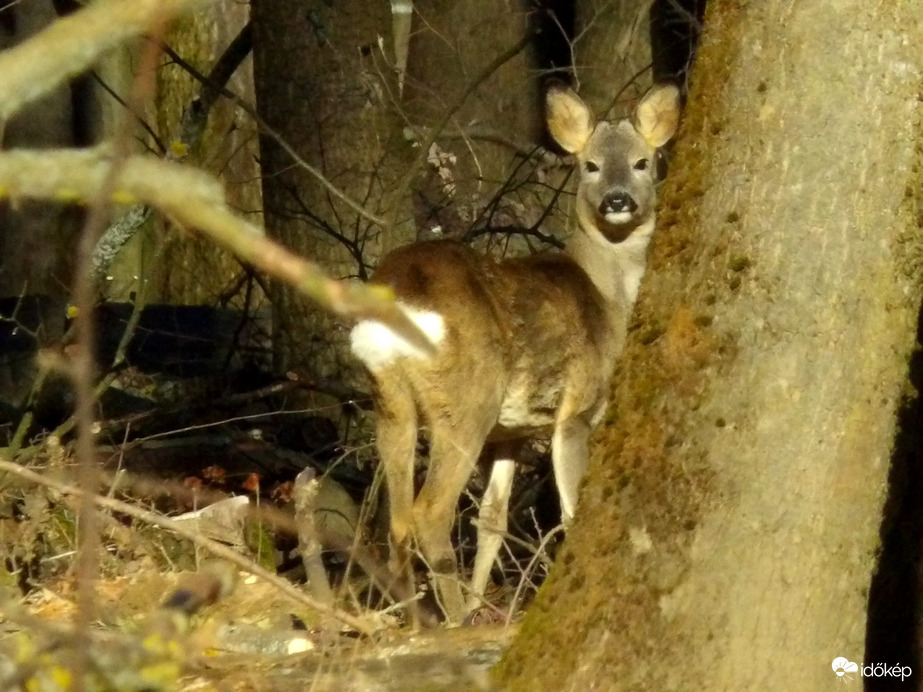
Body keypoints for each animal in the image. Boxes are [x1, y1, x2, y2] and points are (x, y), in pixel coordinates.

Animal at [350, 81, 684, 620]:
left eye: (642, 162)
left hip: (390, 400)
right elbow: (570, 512)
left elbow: (493, 521)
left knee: (398, 517)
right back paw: (452, 622)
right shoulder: (577, 410)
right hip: (467, 398)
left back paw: (412, 617)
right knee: (430, 512)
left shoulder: (510, 433)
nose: (617, 200)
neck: (607, 301)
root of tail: (398, 295)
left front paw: (481, 602)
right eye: (590, 165)